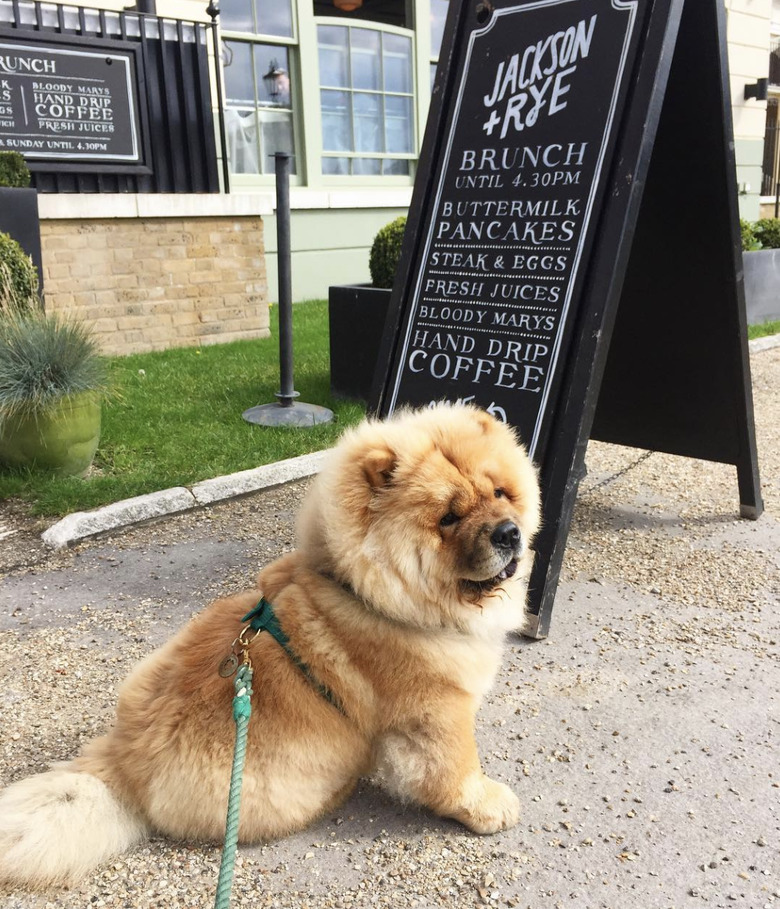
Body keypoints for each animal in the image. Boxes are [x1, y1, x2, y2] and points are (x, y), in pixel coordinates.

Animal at [0, 404, 540, 888]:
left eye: (499, 492)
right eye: (448, 517)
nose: (508, 532)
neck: (364, 593)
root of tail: (123, 764)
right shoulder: (435, 710)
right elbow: (455, 769)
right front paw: (489, 807)